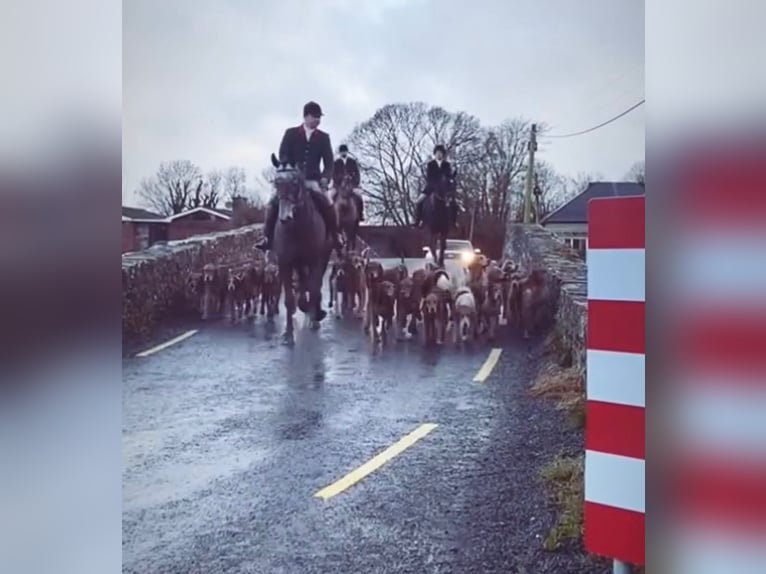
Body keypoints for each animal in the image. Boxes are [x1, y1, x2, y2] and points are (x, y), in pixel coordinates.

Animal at [270, 153, 332, 346]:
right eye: (276, 182)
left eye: (295, 182)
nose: (285, 217)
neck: (297, 227)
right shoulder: (285, 263)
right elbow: (290, 299)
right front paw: (288, 335)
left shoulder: (316, 260)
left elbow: (313, 287)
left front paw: (315, 317)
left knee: (314, 285)